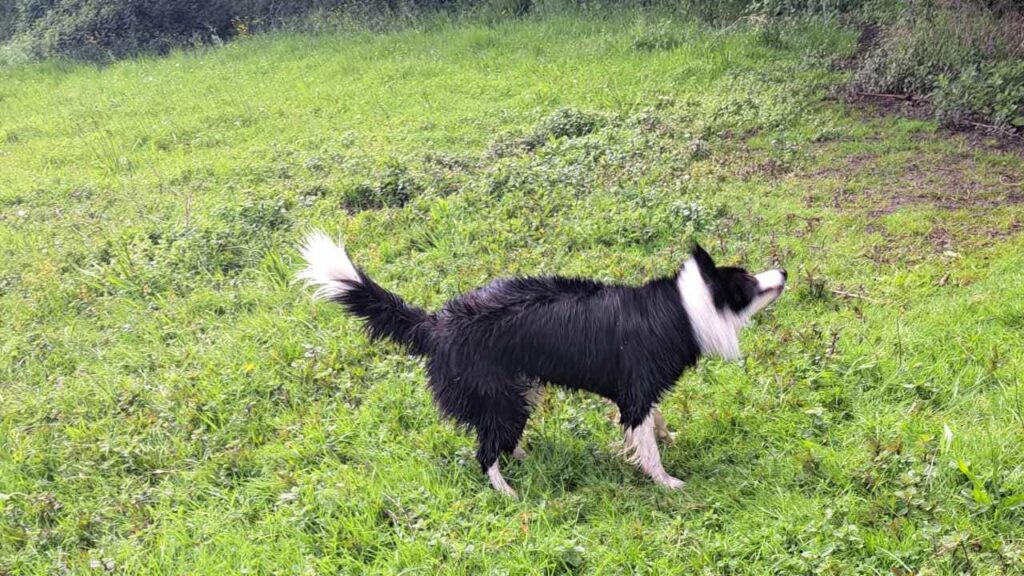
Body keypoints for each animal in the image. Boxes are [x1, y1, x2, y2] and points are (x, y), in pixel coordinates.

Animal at [296, 230, 782, 496]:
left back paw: (526, 457)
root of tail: (437, 324)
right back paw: (507, 491)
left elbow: (654, 424)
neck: (681, 309)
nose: (784, 272)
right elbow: (646, 448)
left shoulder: (640, 393)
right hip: (502, 399)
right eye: (748, 280)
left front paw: (669, 437)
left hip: (518, 390)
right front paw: (666, 482)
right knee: (484, 453)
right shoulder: (635, 393)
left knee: (498, 442)